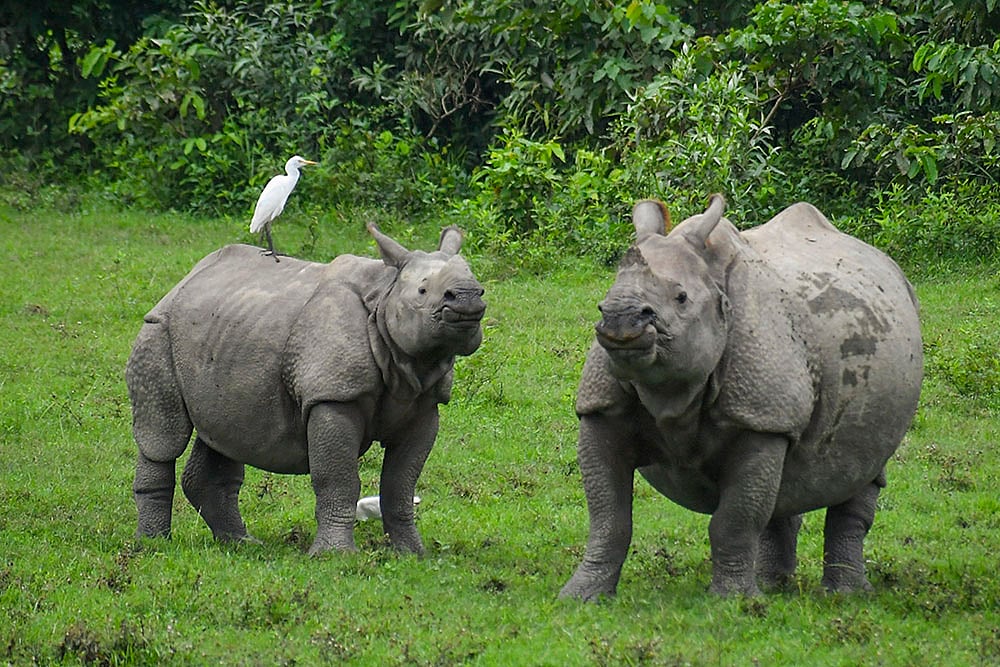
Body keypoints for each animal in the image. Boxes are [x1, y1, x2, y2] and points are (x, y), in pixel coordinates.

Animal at [126, 224, 485, 555]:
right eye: (423, 291)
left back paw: (241, 544)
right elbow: (338, 478)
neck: (385, 294)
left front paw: (412, 554)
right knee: (163, 438)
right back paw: (153, 545)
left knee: (225, 433)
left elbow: (401, 484)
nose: (467, 296)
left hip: (227, 333)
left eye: (480, 288)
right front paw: (335, 557)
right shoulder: (333, 396)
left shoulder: (425, 404)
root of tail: (184, 280)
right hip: (159, 327)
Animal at [560, 195, 922, 599]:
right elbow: (608, 517)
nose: (620, 319)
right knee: (782, 488)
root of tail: (891, 267)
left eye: (681, 298)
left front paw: (732, 602)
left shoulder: (761, 418)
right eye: (604, 301)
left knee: (864, 473)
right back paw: (773, 587)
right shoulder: (601, 407)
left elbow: (734, 519)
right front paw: (580, 598)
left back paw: (846, 595)